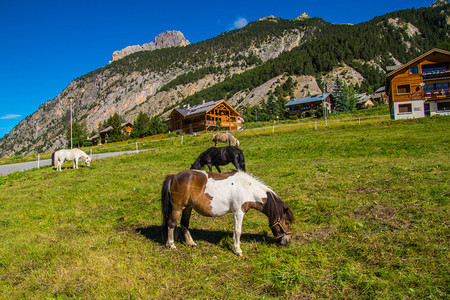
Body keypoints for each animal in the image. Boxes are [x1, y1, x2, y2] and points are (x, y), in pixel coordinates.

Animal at [160, 170, 294, 256]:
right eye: (287, 222)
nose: (287, 240)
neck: (248, 188)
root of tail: (174, 177)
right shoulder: (239, 212)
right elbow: (238, 231)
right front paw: (237, 250)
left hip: (188, 207)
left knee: (184, 224)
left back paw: (191, 243)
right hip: (178, 208)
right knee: (171, 223)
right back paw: (171, 244)